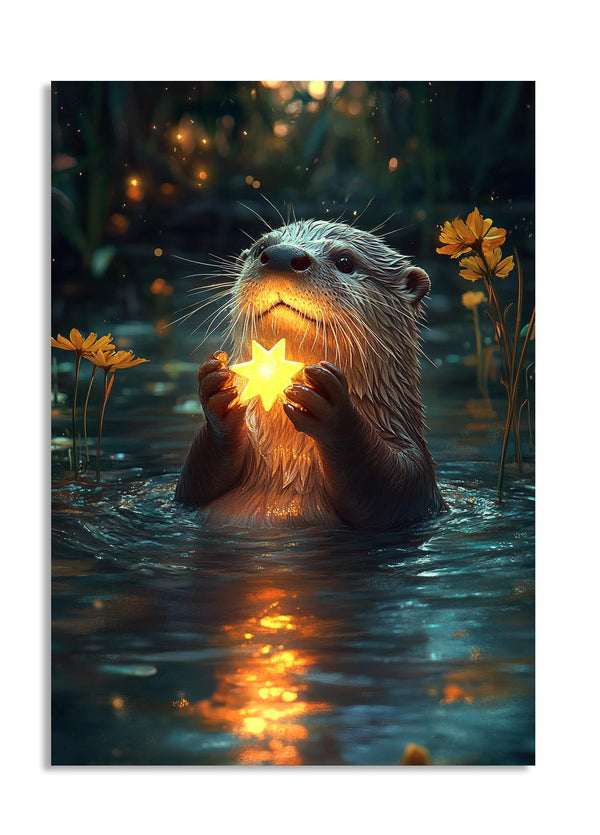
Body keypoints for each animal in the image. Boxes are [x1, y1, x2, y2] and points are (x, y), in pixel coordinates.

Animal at [175, 218, 445, 528]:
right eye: (261, 248)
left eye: (345, 261)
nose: (282, 255)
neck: (283, 467)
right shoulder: (189, 491)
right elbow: (193, 481)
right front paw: (217, 390)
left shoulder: (416, 472)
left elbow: (383, 482)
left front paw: (331, 405)